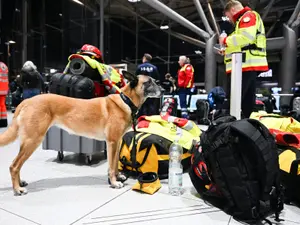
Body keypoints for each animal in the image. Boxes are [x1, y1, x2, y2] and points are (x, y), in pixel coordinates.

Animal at [0, 72, 164, 195]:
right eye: (149, 82)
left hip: (28, 142)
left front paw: (118, 177)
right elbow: (111, 166)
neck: (126, 100)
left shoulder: (117, 143)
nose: (163, 90)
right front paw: (114, 182)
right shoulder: (112, 142)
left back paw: (20, 183)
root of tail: (26, 101)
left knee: (17, 165)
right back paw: (17, 189)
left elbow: (115, 164)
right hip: (33, 140)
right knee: (14, 166)